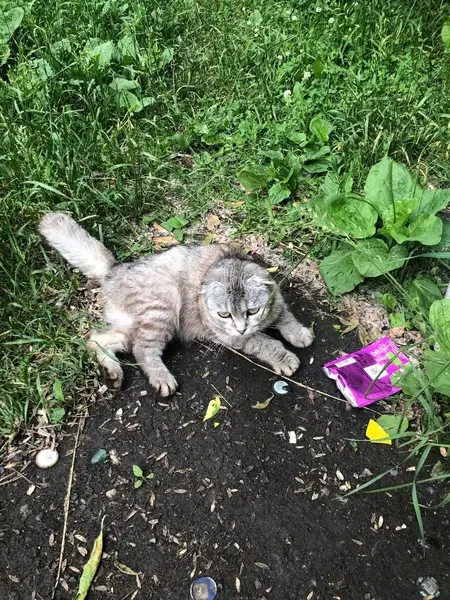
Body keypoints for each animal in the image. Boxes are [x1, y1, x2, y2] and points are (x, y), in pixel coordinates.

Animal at [39, 212, 314, 396]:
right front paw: (284, 356)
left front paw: (298, 333)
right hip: (163, 307)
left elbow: (285, 315)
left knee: (97, 339)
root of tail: (113, 270)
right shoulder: (232, 337)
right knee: (142, 349)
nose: (241, 327)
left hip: (130, 326)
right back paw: (161, 377)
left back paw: (112, 372)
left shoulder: (276, 300)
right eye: (224, 315)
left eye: (252, 311)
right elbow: (265, 342)